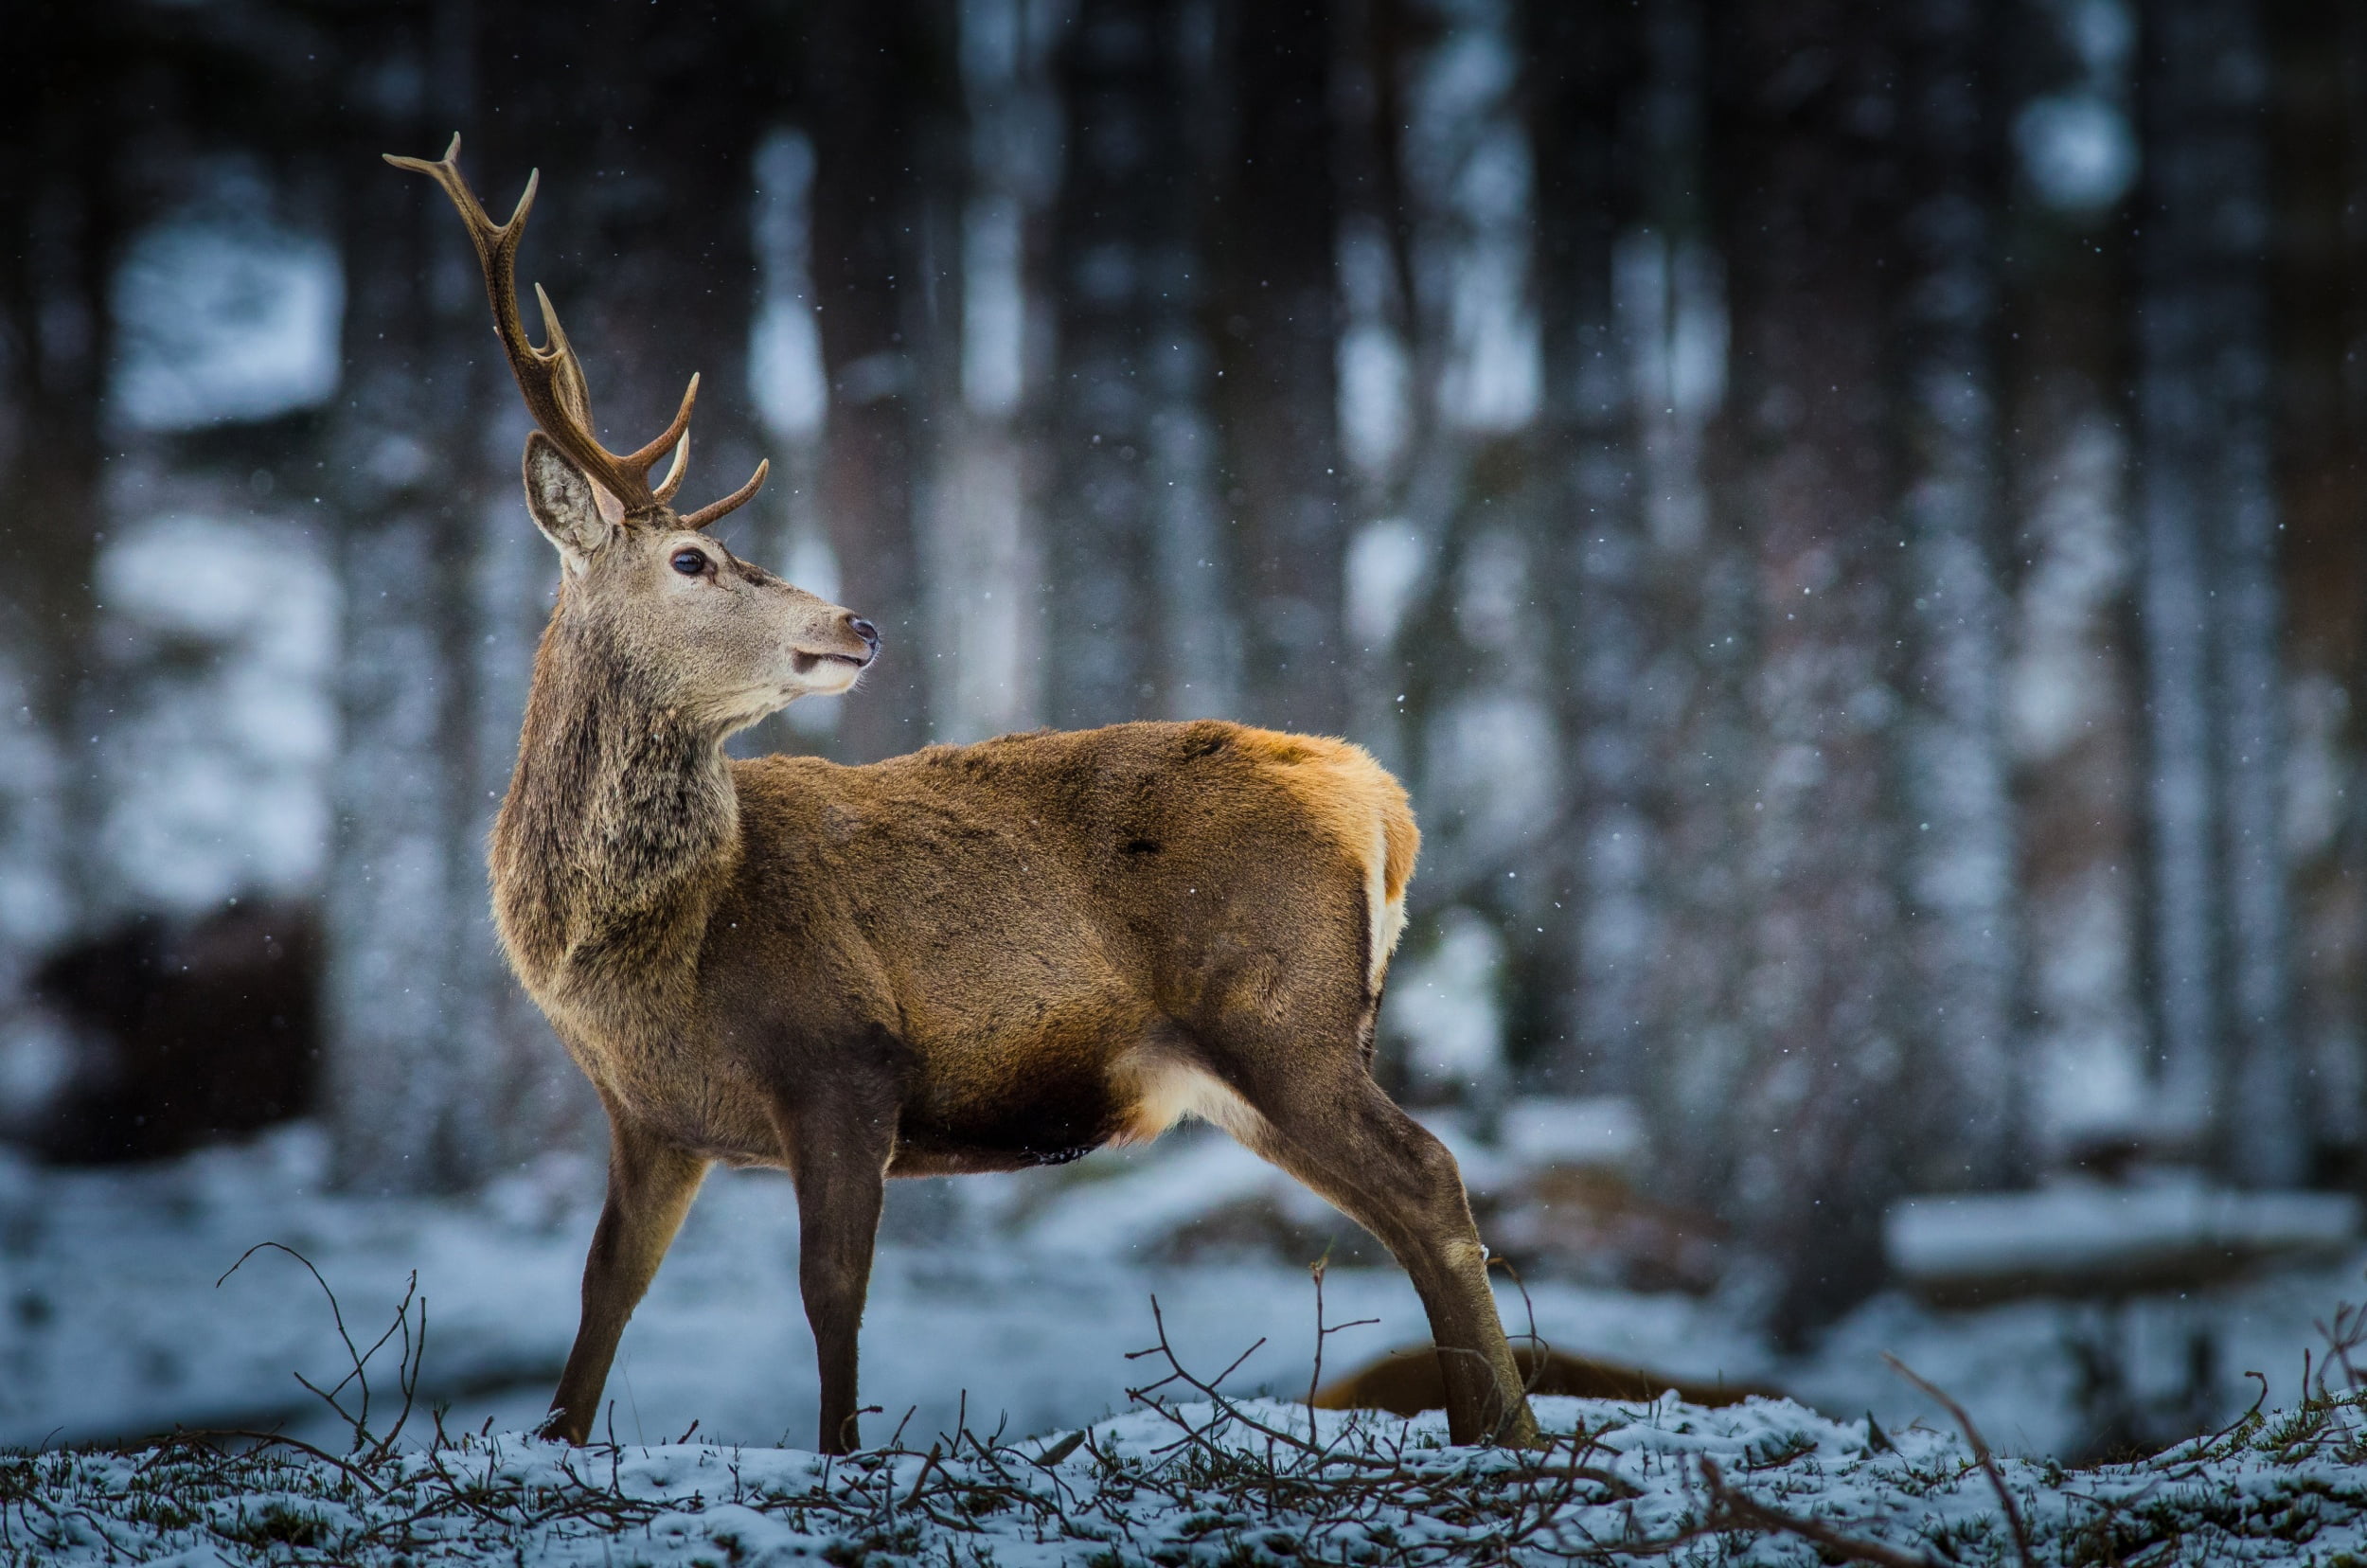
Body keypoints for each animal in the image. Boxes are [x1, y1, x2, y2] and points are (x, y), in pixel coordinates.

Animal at [387, 137, 1539, 1454]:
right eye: (692, 560)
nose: (859, 625)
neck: (650, 948)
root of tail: (1378, 799)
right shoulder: (651, 1116)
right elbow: (604, 1296)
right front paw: (559, 1440)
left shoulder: (843, 1056)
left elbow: (831, 1292)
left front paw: (842, 1454)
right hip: (1255, 1059)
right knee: (1398, 1206)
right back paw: (1488, 1429)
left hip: (1278, 1011)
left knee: (1429, 1177)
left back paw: (1509, 1435)